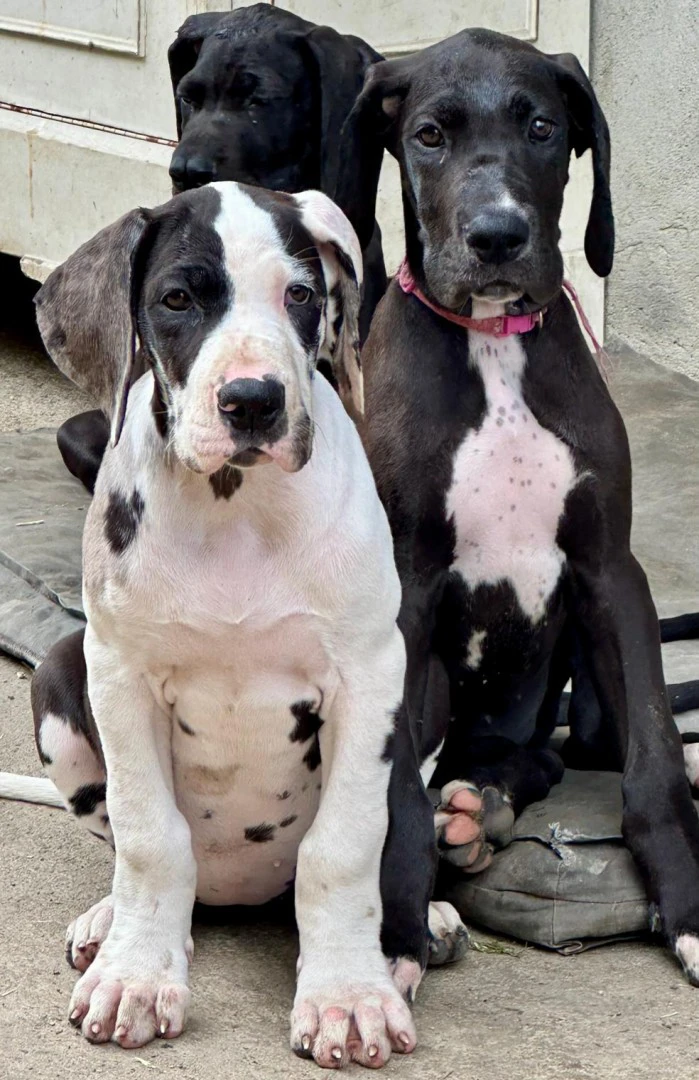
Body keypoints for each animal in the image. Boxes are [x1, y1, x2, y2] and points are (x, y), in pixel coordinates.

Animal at [30, 181, 453, 1067]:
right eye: (177, 300)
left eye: (300, 296)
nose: (253, 402)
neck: (235, 511)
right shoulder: (117, 672)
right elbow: (149, 836)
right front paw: (137, 975)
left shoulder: (370, 675)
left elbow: (343, 849)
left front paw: (345, 996)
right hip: (58, 675)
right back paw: (114, 923)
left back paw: (413, 935)